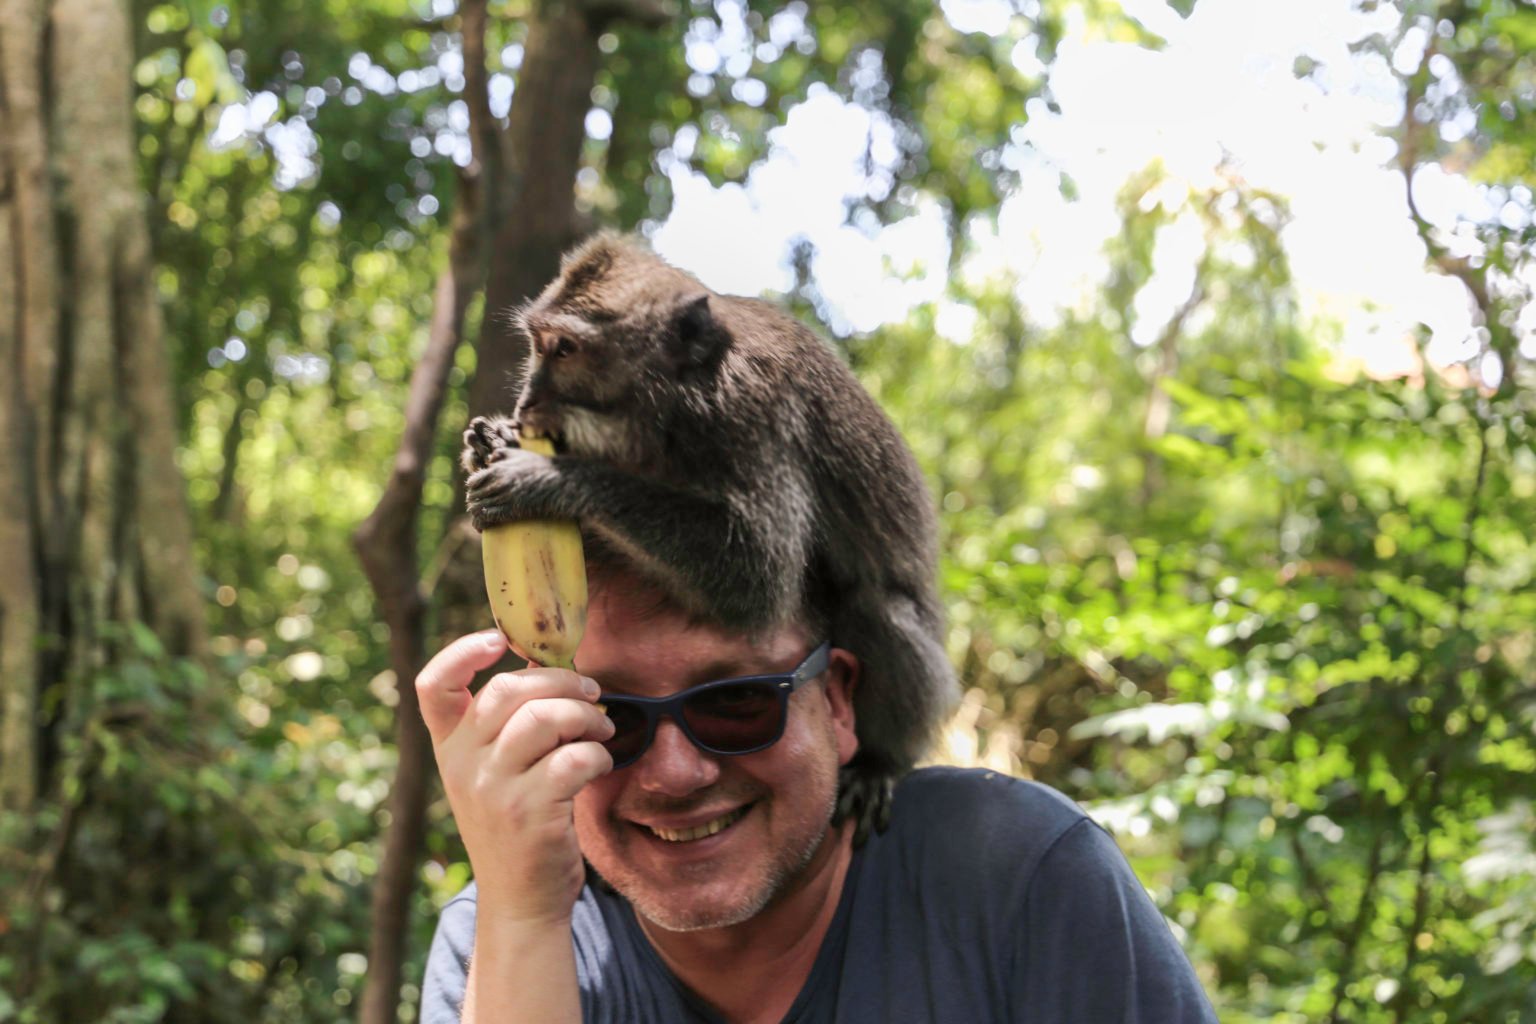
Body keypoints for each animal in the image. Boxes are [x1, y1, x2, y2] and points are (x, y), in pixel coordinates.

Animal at [460, 234, 952, 847]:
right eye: (537, 345)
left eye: (566, 350)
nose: (526, 402)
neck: (677, 404)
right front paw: (489, 441)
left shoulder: (753, 415)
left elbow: (757, 576)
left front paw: (544, 480)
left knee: (877, 609)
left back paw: (881, 761)